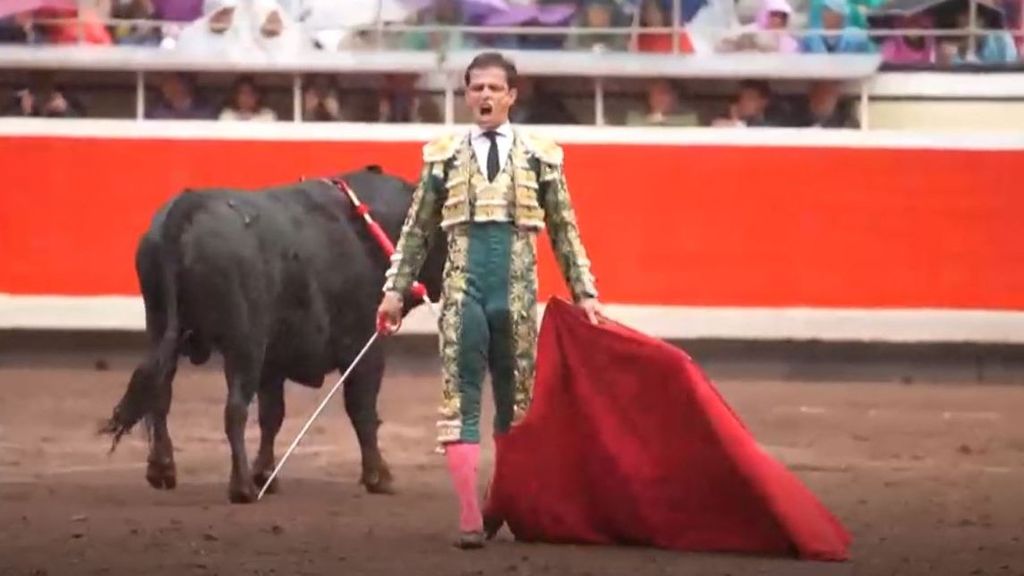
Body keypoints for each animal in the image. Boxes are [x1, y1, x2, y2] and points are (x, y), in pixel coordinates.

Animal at [98, 163, 444, 500]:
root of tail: (186, 208)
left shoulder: (273, 361)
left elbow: (271, 415)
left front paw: (265, 473)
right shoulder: (362, 345)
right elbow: (362, 409)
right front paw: (378, 477)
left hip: (160, 327)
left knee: (160, 394)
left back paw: (163, 470)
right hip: (244, 343)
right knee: (234, 408)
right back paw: (242, 488)